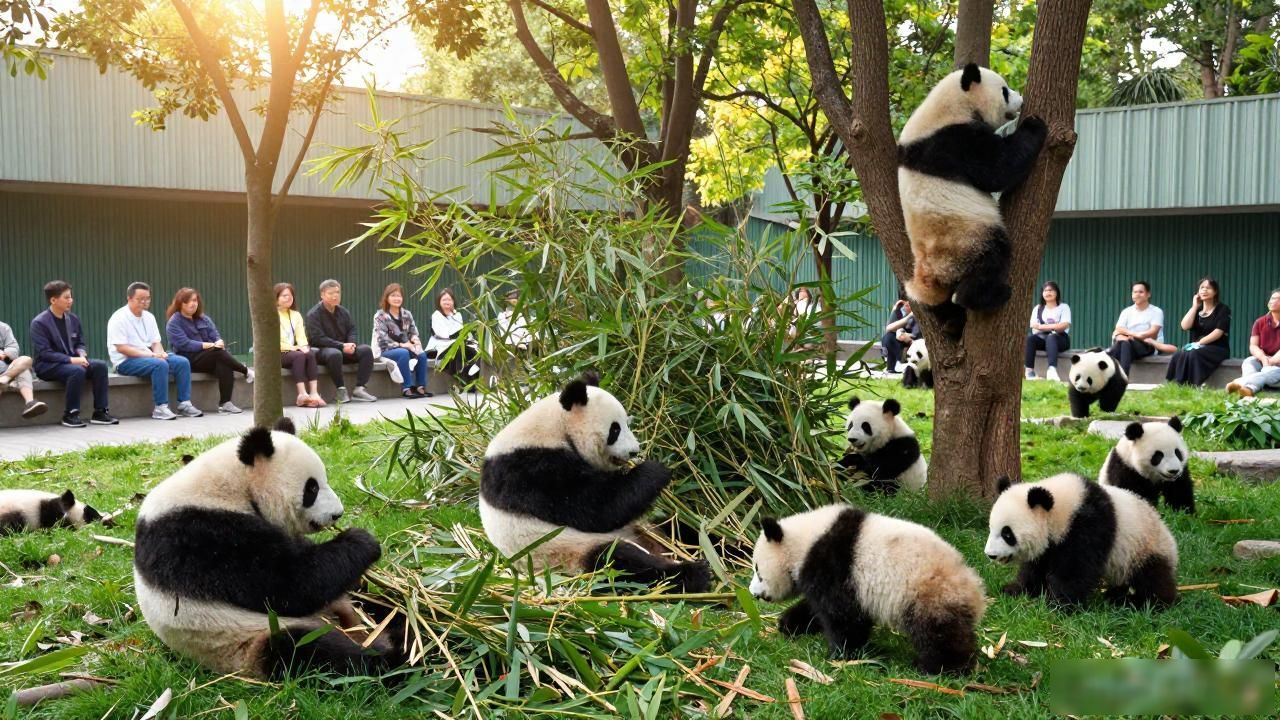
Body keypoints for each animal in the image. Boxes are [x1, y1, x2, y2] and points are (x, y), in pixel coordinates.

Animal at [133, 417, 397, 679]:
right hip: (248, 640)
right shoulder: (203, 537)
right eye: (311, 489)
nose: (337, 514)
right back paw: (387, 655)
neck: (230, 485)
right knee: (308, 651)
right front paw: (362, 540)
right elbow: (290, 585)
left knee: (376, 604)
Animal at [479, 372, 710, 592]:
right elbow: (595, 507)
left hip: (648, 527)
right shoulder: (530, 471)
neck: (554, 426)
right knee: (622, 563)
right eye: (615, 429)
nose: (634, 451)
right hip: (570, 551)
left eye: (627, 423)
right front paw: (655, 470)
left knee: (681, 528)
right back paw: (693, 574)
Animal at [749, 504, 985, 674]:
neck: (804, 543)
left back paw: (939, 667)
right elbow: (815, 608)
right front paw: (789, 624)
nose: (753, 594)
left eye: (757, 570)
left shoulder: (833, 565)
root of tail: (976, 593)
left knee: (938, 635)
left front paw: (842, 654)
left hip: (928, 594)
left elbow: (842, 615)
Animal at [898, 64, 1047, 338]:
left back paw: (951, 324)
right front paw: (1033, 124)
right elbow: (999, 169)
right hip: (966, 238)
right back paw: (983, 296)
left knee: (940, 303)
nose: (1021, 100)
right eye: (1004, 90)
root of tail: (931, 273)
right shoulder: (956, 141)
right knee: (992, 257)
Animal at [984, 473, 1178, 608]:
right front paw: (1015, 589)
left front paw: (1059, 604)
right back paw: (1115, 595)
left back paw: (1141, 602)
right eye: (991, 528)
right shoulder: (1050, 545)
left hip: (1143, 548)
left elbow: (1074, 570)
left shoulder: (1087, 527)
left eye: (1007, 534)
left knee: (1151, 578)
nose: (990, 555)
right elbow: (1035, 567)